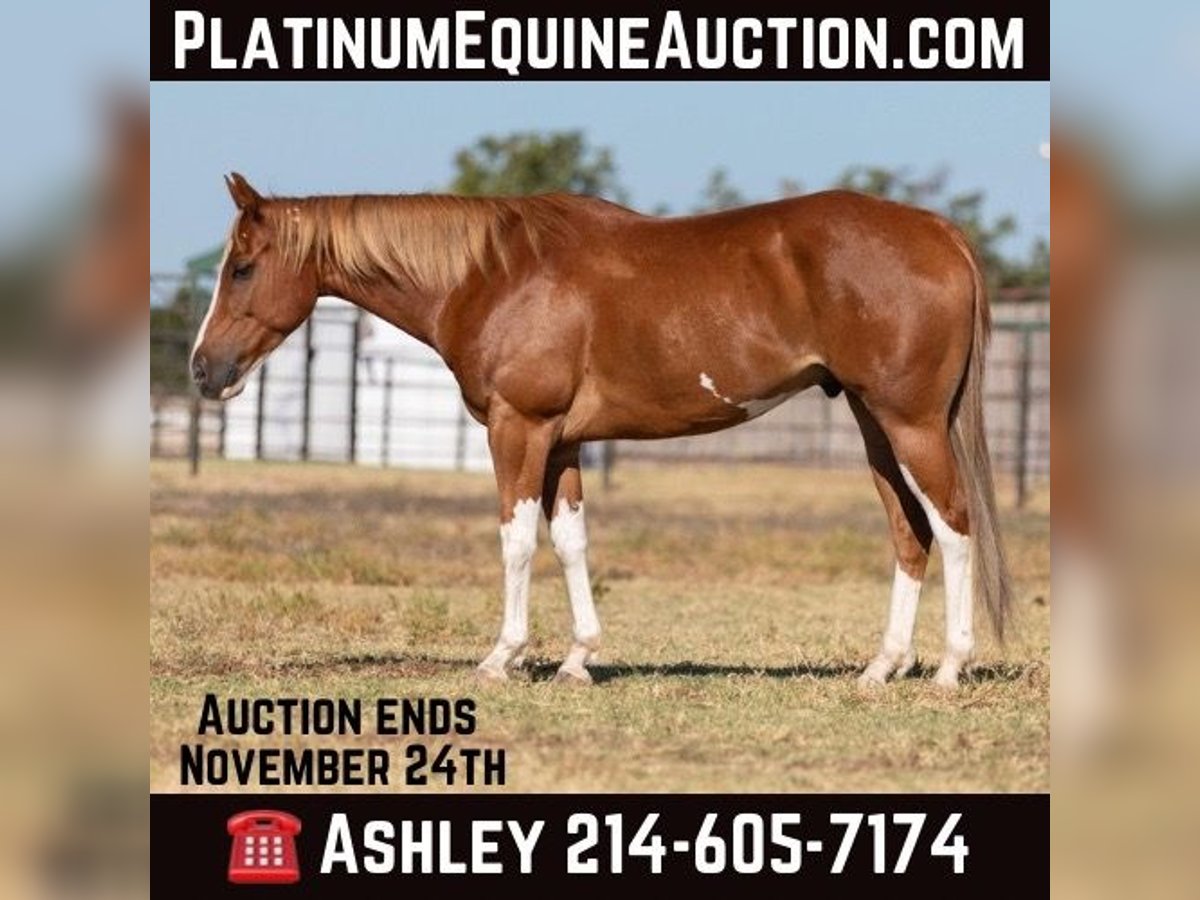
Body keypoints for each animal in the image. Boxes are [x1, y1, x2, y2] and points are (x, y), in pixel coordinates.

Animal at [190, 173, 1012, 689]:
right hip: (876, 426)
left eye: (241, 267)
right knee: (910, 533)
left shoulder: (519, 429)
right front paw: (577, 658)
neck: (490, 274)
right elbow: (571, 541)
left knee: (954, 525)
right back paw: (882, 667)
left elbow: (517, 540)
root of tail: (938, 232)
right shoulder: (562, 440)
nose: (203, 369)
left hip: (910, 424)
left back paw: (949, 667)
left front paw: (503, 657)